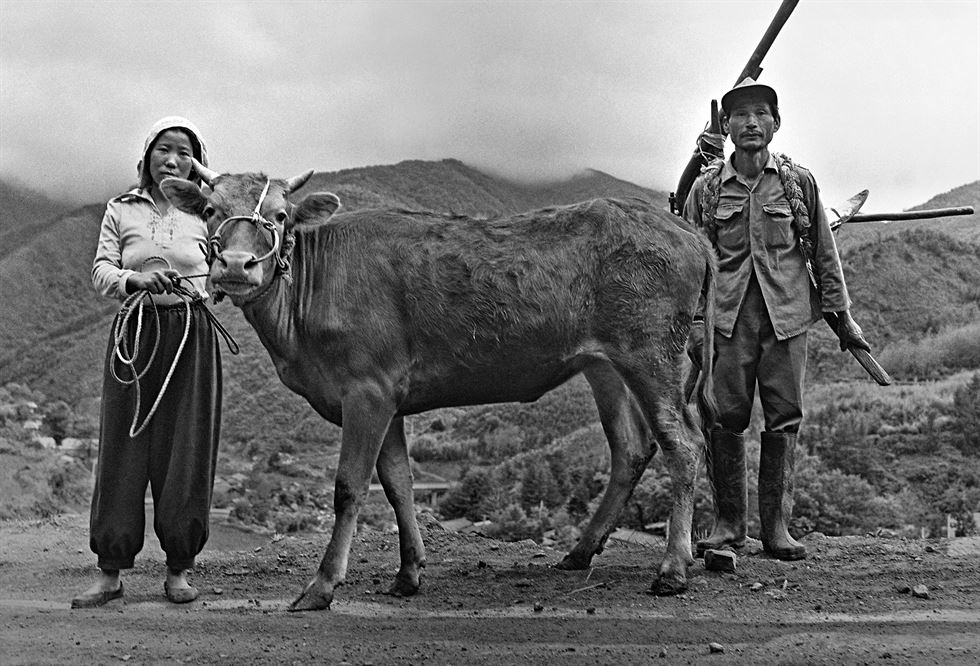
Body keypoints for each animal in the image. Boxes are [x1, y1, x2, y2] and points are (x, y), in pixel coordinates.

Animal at [159, 163, 712, 608]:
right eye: (208, 209)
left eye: (279, 214)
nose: (235, 265)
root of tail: (685, 229)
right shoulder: (387, 398)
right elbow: (398, 484)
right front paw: (408, 573)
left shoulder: (366, 389)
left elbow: (349, 487)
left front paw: (322, 585)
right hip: (604, 365)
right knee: (631, 447)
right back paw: (580, 551)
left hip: (651, 352)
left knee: (683, 444)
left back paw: (673, 569)